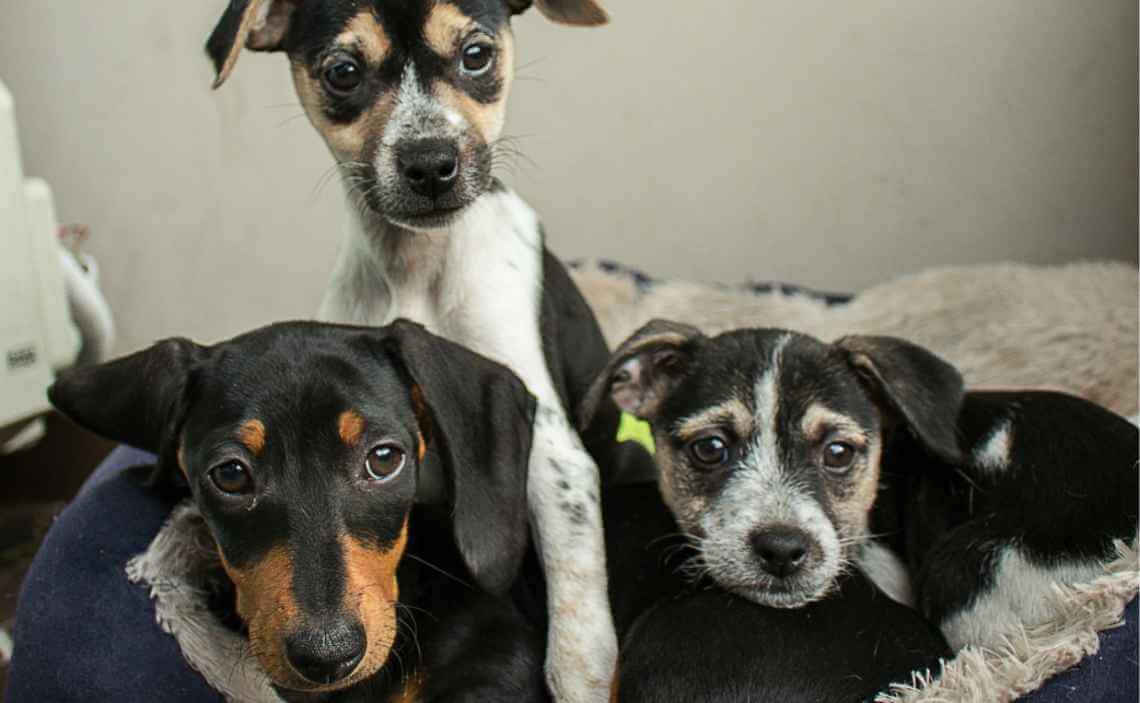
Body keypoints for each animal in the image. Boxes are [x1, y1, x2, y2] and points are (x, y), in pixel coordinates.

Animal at [205, 2, 633, 697]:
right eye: (343, 72)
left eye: (477, 55)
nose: (431, 163)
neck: (417, 269)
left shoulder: (554, 456)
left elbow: (577, 640)